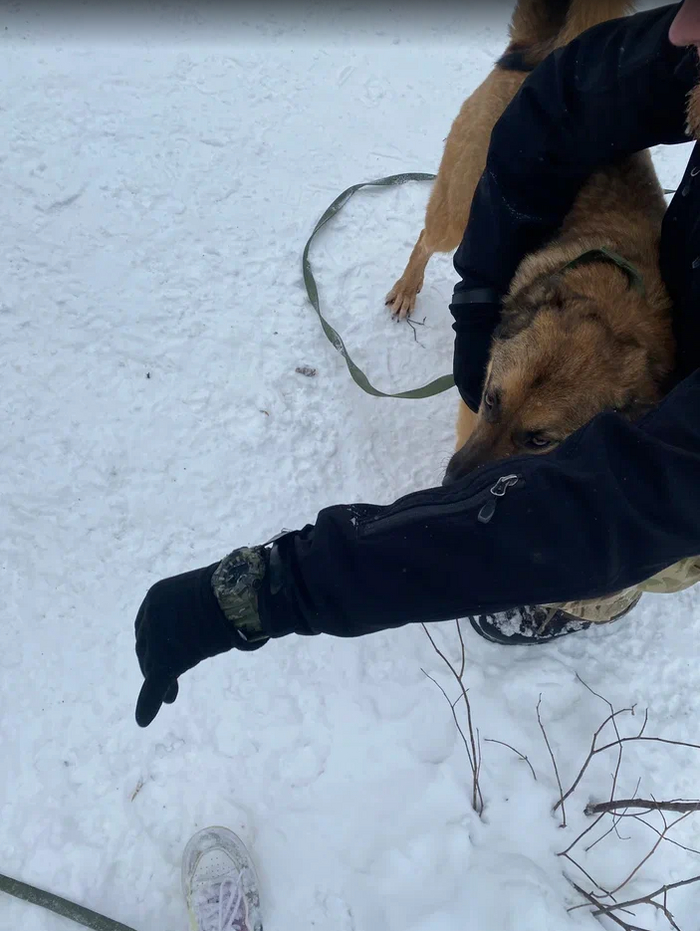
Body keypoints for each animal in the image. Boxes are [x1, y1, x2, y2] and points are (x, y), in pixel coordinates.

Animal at [386, 0, 674, 482]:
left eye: (539, 440)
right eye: (490, 399)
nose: (451, 481)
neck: (612, 303)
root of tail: (549, 50)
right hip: (460, 208)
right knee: (427, 237)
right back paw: (407, 289)